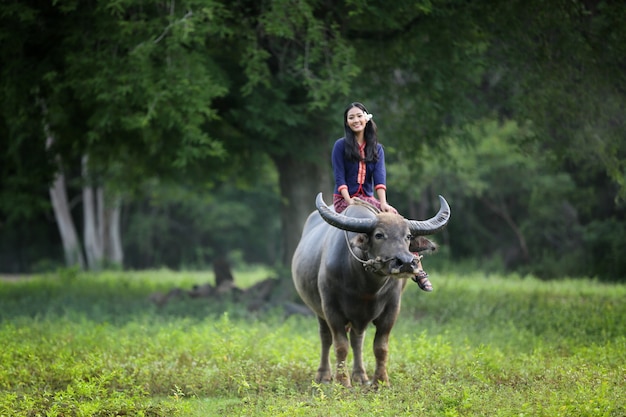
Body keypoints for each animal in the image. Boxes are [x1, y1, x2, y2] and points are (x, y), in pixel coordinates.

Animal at [290, 192, 446, 386]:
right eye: (379, 235)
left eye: (408, 236)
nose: (406, 262)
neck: (365, 286)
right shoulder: (331, 308)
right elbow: (340, 345)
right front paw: (342, 382)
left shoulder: (391, 308)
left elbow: (380, 347)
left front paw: (381, 382)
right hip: (319, 310)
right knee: (326, 338)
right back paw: (324, 375)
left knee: (357, 340)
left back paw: (360, 376)